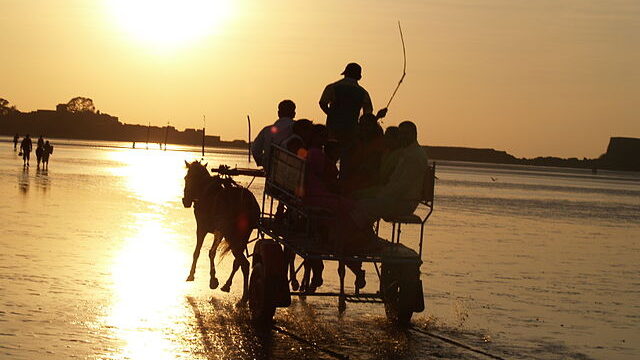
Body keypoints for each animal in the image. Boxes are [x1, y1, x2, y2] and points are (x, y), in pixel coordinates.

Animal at [180, 160, 260, 304]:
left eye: (186, 178)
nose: (185, 201)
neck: (204, 192)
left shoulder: (202, 228)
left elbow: (199, 252)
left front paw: (195, 275)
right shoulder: (219, 230)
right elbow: (211, 252)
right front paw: (214, 280)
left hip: (231, 236)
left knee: (244, 263)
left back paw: (244, 297)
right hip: (242, 236)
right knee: (239, 262)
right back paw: (228, 286)